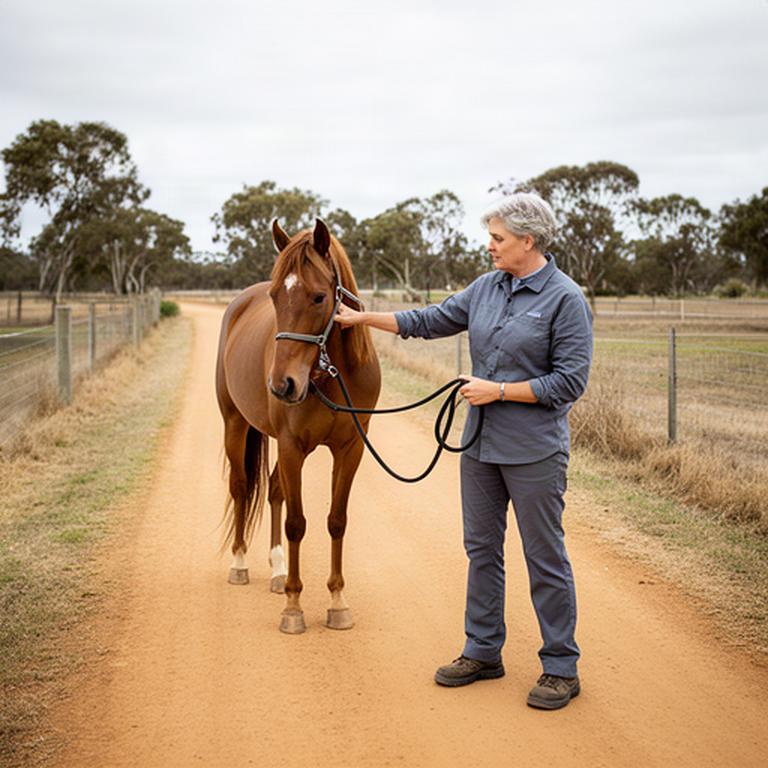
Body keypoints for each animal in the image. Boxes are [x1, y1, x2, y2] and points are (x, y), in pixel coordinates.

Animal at [215, 218, 381, 634]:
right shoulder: (292, 445)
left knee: (274, 490)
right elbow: (296, 522)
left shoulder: (350, 449)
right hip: (234, 423)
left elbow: (336, 520)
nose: (281, 385)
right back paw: (240, 564)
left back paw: (277, 571)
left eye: (319, 297)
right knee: (240, 486)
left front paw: (337, 602)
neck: (331, 375)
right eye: (275, 297)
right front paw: (294, 607)